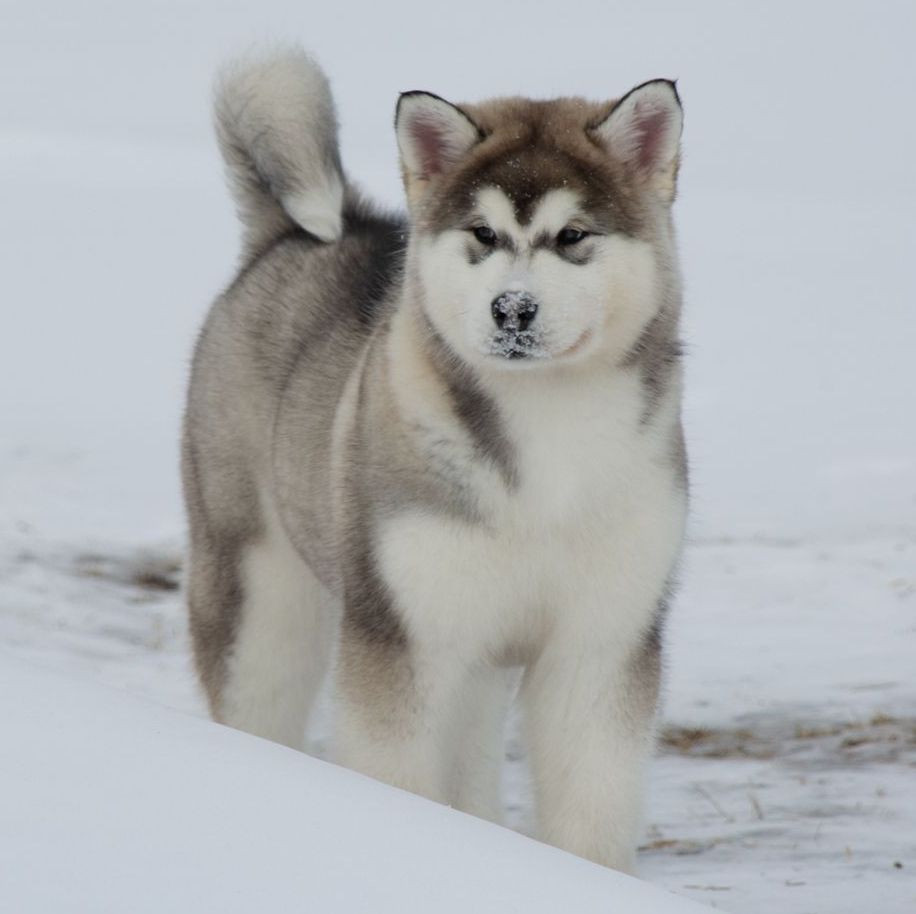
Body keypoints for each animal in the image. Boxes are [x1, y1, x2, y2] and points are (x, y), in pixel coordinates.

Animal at [182, 48, 688, 868]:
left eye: (573, 235)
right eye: (482, 232)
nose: (512, 310)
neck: (544, 449)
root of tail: (293, 235)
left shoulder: (600, 641)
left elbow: (592, 808)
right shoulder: (405, 636)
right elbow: (399, 777)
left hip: (476, 656)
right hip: (261, 593)